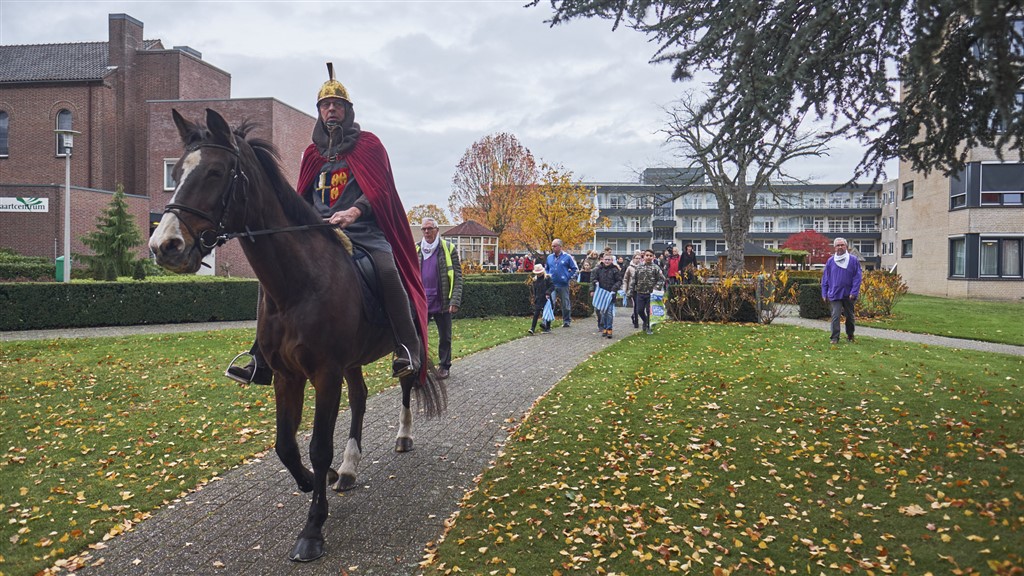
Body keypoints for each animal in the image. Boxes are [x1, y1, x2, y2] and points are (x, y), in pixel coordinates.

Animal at [149, 107, 446, 561]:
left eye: (216, 172)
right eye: (177, 171)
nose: (164, 245)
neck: (297, 285)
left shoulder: (324, 374)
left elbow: (318, 447)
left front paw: (313, 528)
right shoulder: (287, 376)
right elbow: (286, 446)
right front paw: (316, 480)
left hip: (403, 348)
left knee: (407, 385)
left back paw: (403, 435)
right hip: (352, 362)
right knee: (360, 399)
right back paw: (349, 468)